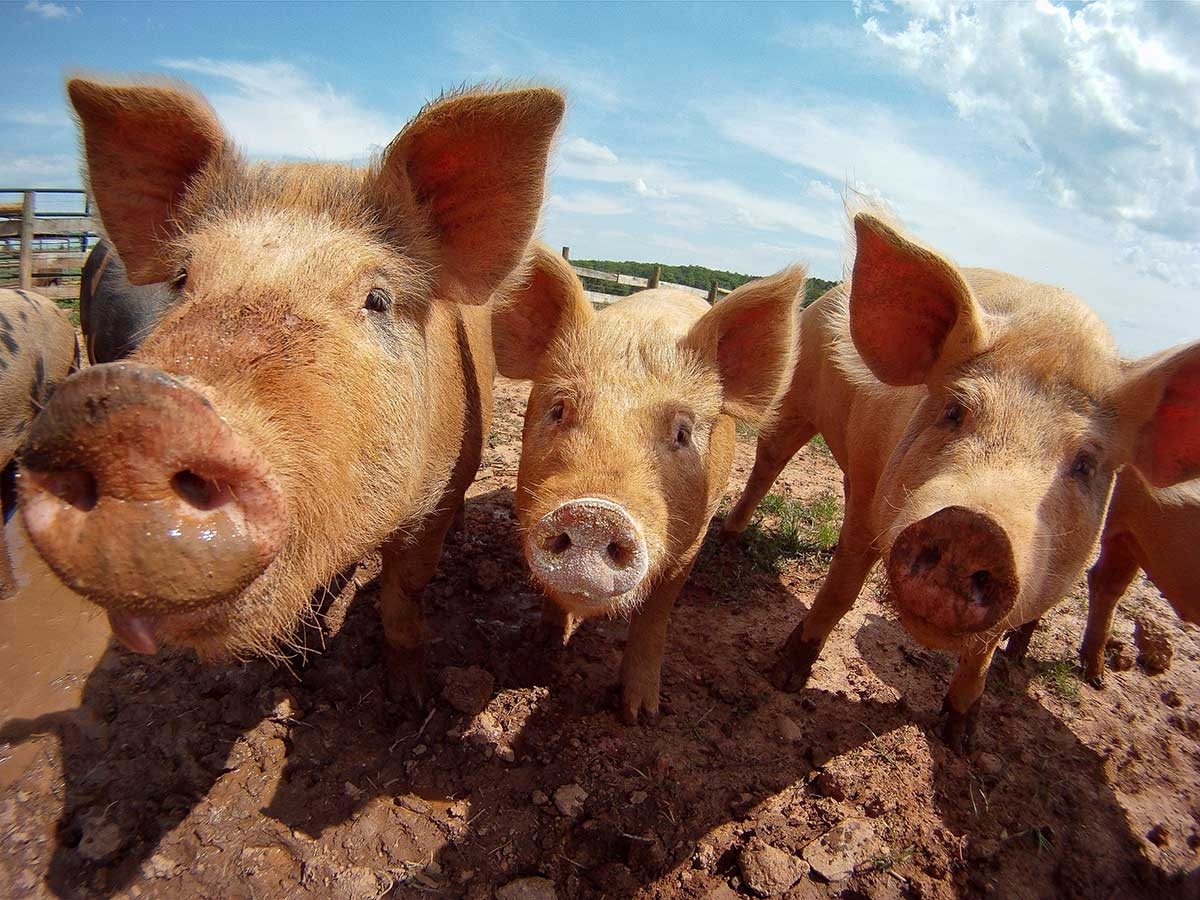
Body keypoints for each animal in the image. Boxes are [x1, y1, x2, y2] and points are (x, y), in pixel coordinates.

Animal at [17, 74, 561, 700]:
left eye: (377, 298)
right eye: (182, 279)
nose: (131, 411)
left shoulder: (434, 502)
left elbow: (403, 596)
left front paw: (409, 697)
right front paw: (297, 668)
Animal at [487, 247, 806, 724]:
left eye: (683, 433)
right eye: (559, 409)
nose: (594, 514)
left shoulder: (691, 542)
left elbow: (655, 615)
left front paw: (640, 714)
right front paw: (543, 651)